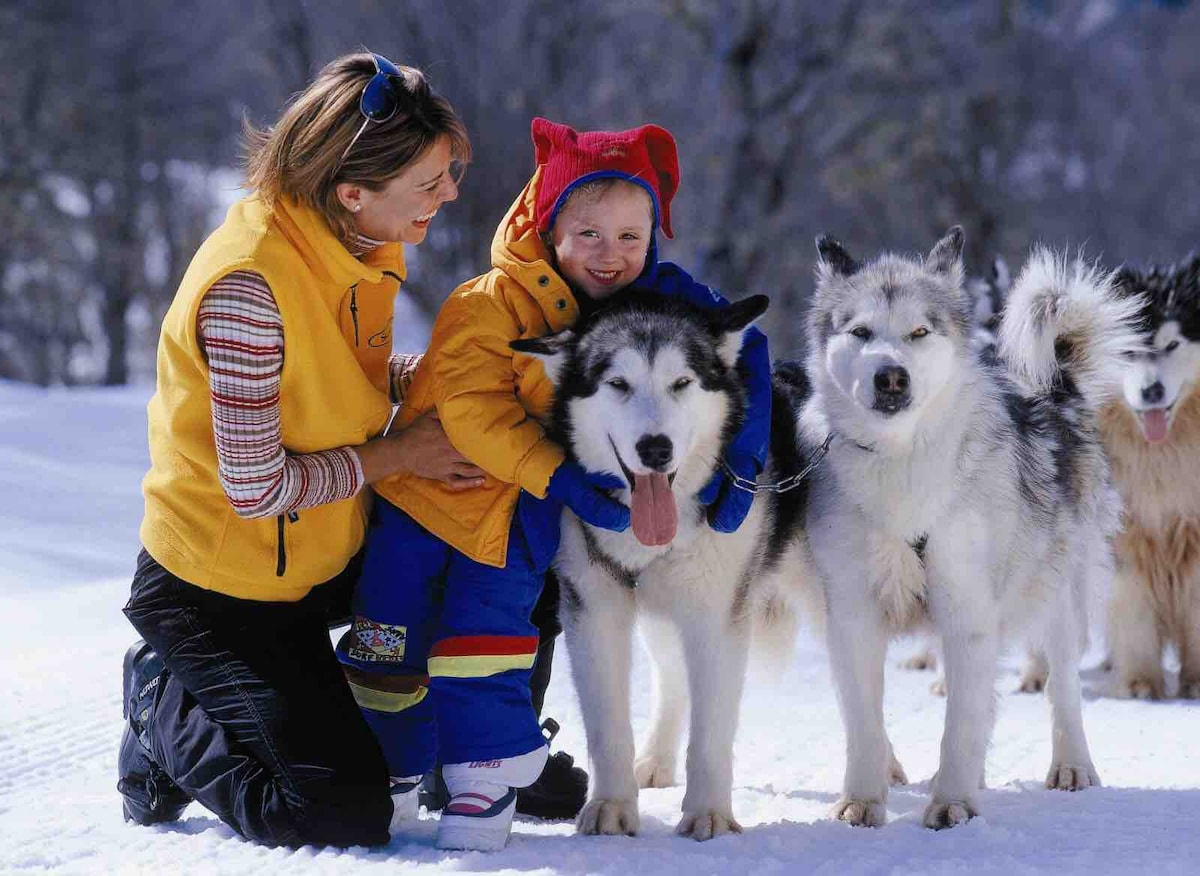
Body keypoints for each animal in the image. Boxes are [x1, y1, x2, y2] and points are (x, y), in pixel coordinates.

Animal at [511, 291, 820, 840]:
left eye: (681, 383)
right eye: (618, 383)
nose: (656, 449)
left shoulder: (717, 618)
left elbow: (711, 732)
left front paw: (709, 813)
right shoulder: (596, 611)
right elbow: (609, 726)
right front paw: (611, 806)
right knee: (672, 676)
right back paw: (655, 758)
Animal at [801, 226, 1137, 825]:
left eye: (919, 332)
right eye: (860, 332)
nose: (891, 376)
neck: (902, 467)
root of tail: (1056, 387)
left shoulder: (967, 611)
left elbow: (960, 725)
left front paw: (952, 802)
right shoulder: (852, 616)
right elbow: (865, 724)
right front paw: (862, 801)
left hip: (1058, 595)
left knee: (1062, 689)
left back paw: (1071, 766)